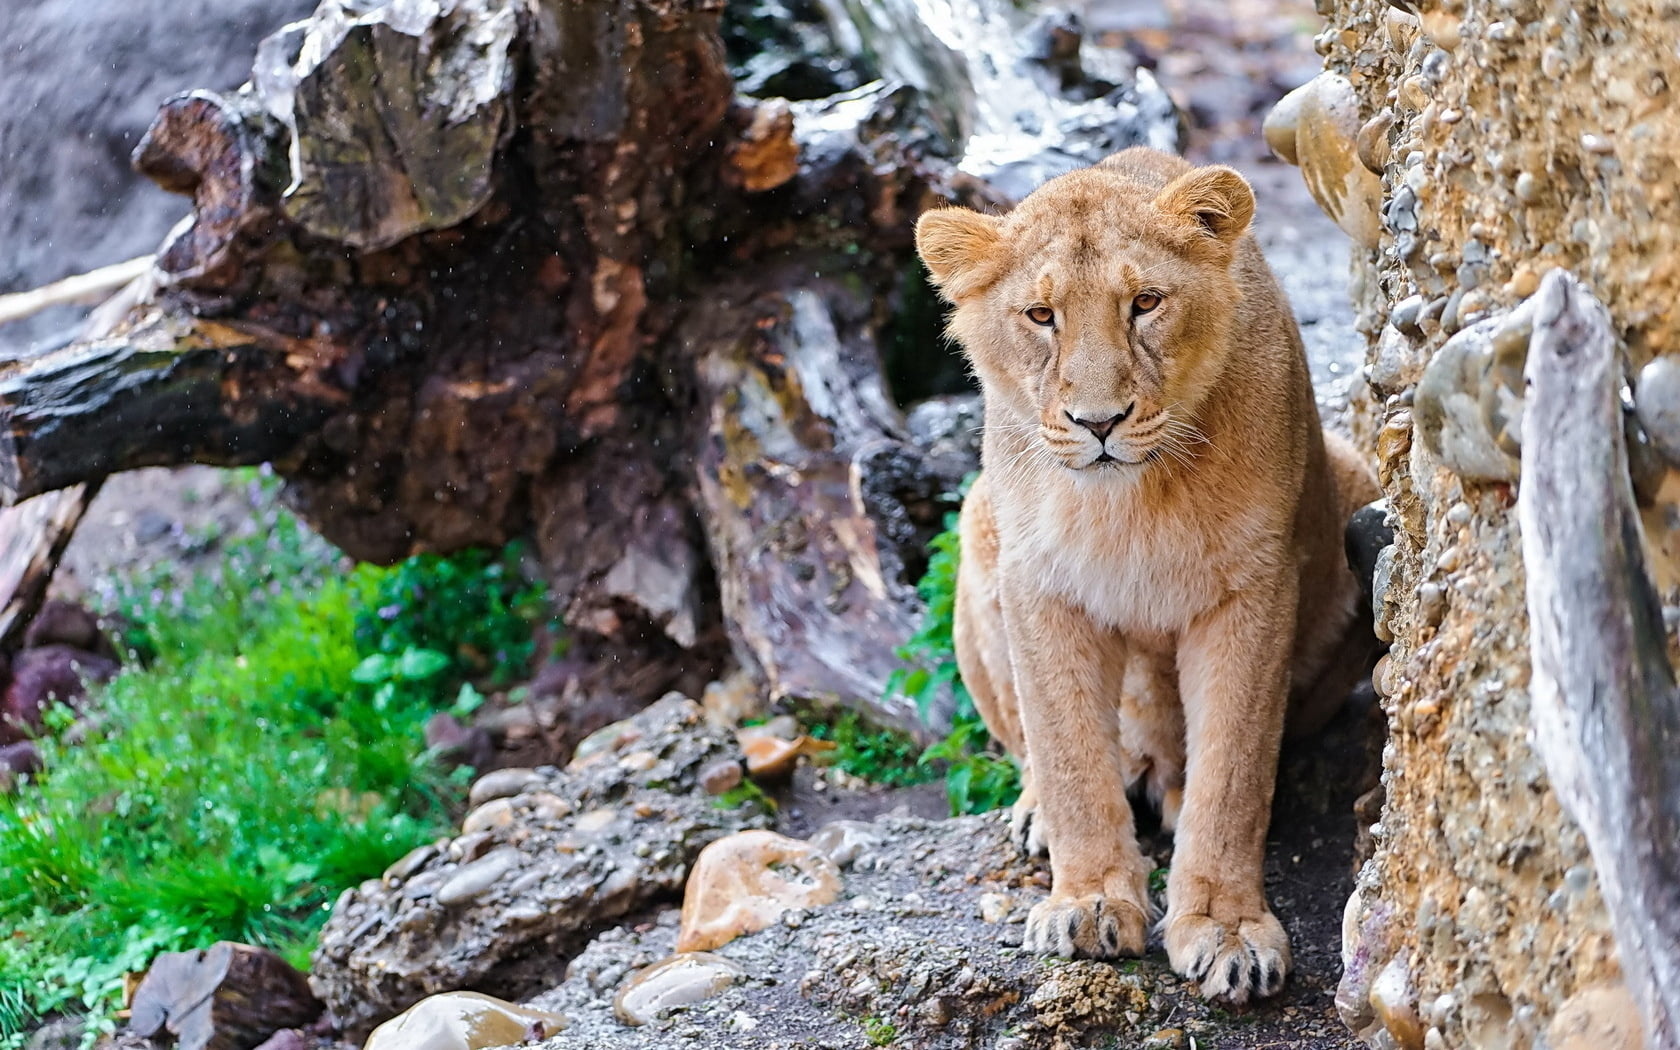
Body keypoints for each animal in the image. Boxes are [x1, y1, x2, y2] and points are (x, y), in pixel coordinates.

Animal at [914, 146, 1379, 1005]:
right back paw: (1038, 816)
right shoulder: (1040, 587)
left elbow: (1232, 772)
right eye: (1040, 316)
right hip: (976, 519)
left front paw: (1227, 929)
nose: (1099, 422)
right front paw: (1090, 901)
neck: (1129, 501)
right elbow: (1068, 755)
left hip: (1355, 483)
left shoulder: (1253, 591)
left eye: (1146, 303)